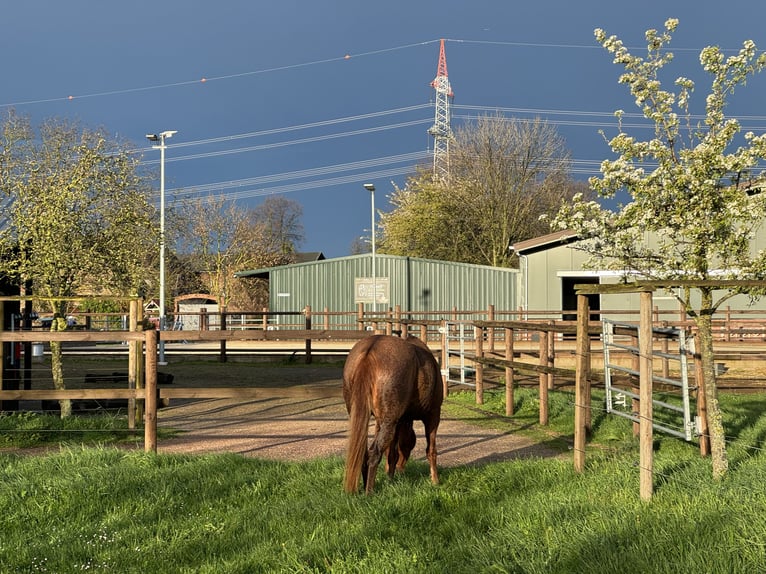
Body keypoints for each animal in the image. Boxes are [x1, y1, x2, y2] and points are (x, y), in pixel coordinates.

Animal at [344, 336, 444, 498]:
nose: (401, 468)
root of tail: (371, 348)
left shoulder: (395, 422)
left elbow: (392, 453)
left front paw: (390, 480)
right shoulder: (433, 416)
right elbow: (431, 450)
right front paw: (435, 481)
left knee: (364, 454)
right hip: (391, 422)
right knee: (374, 454)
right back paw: (369, 492)